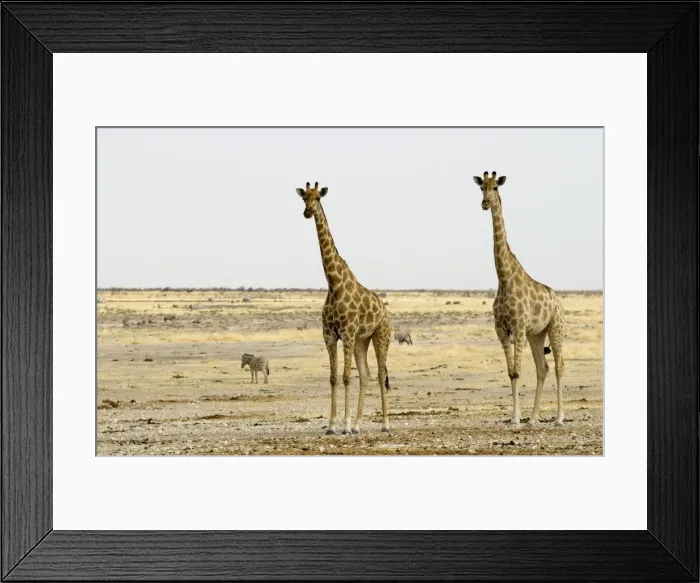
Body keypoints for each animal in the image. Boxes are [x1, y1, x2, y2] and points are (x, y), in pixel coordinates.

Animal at [296, 181, 392, 435]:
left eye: (318, 197)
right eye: (304, 198)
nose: (307, 212)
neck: (334, 284)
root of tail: (387, 312)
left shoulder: (347, 333)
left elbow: (346, 376)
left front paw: (345, 425)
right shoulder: (330, 334)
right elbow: (333, 377)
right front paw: (332, 425)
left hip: (381, 336)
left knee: (380, 374)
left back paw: (385, 424)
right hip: (362, 340)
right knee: (366, 375)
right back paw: (358, 425)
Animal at [473, 171, 566, 428]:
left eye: (495, 187)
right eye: (481, 187)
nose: (485, 203)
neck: (504, 279)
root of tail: (559, 301)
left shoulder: (518, 326)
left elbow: (518, 371)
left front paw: (515, 419)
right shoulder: (502, 329)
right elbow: (511, 372)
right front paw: (515, 417)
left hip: (555, 327)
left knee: (559, 367)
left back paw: (559, 418)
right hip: (536, 334)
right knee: (543, 368)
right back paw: (533, 418)